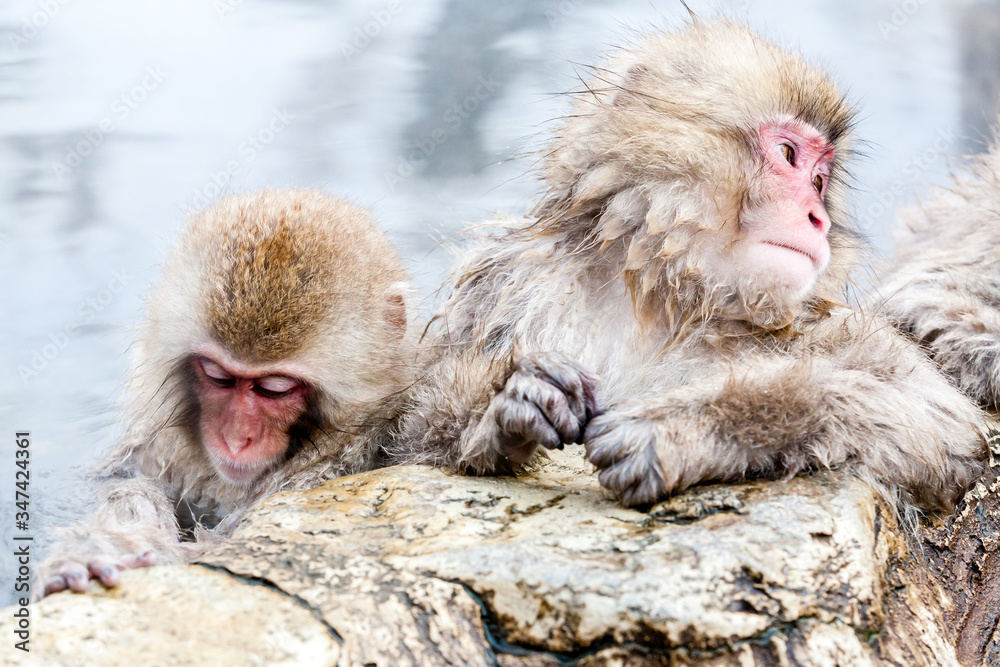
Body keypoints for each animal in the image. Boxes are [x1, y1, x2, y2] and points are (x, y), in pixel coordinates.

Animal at [392, 18, 987, 511]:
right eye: (789, 156)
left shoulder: (819, 323)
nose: (817, 216)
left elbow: (938, 422)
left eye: (820, 180)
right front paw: (512, 404)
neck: (667, 295)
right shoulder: (505, 284)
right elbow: (406, 445)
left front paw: (679, 427)